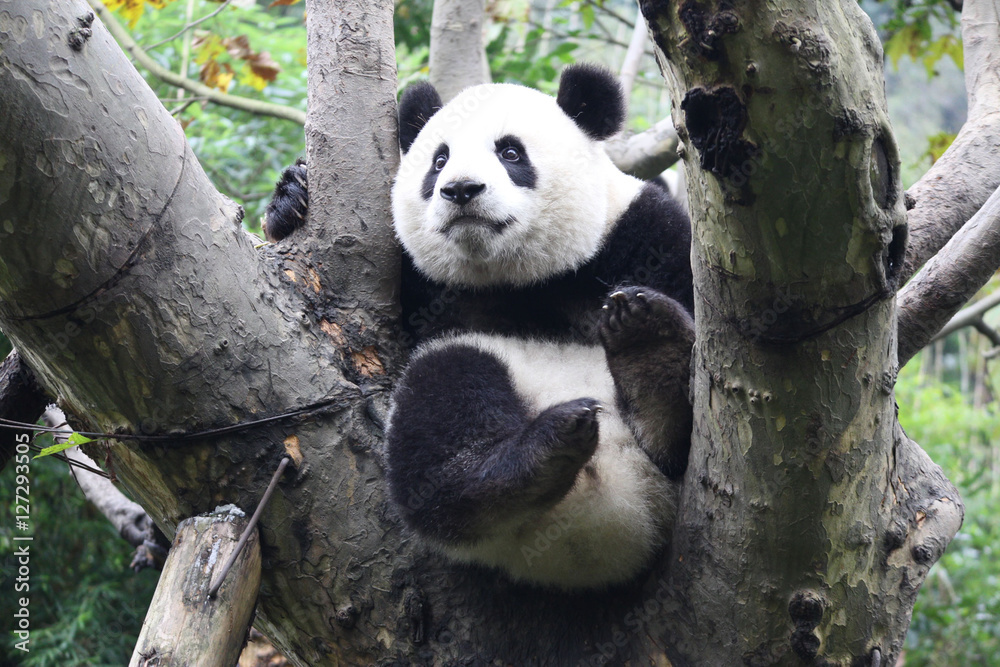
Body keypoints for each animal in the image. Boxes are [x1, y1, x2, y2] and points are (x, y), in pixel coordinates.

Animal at [265, 64, 695, 589]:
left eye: (510, 152)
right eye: (439, 160)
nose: (461, 190)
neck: (513, 279)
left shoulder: (639, 229)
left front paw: (649, 331)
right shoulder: (418, 280)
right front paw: (292, 197)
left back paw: (649, 350)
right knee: (443, 393)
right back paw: (531, 460)